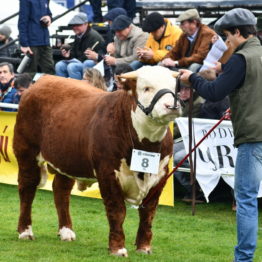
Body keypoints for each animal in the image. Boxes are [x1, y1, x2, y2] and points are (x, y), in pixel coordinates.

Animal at [12, 65, 180, 256]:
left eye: (174, 88)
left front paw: (144, 248)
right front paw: (118, 249)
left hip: (67, 159)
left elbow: (148, 213)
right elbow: (117, 210)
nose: (172, 105)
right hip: (26, 152)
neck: (145, 143)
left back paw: (66, 231)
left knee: (61, 191)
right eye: (146, 88)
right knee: (27, 188)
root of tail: (45, 79)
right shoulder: (107, 172)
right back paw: (25, 231)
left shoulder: (160, 176)